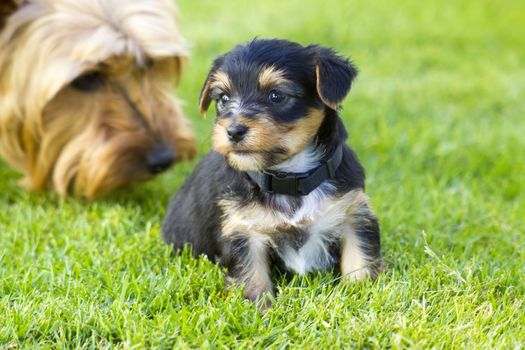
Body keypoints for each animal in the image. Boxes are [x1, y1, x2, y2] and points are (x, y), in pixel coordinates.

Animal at [162, 37, 382, 306]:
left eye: (276, 95)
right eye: (223, 98)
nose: (233, 131)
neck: (290, 176)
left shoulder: (353, 211)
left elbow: (359, 255)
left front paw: (360, 293)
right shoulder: (243, 229)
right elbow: (251, 274)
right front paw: (261, 308)